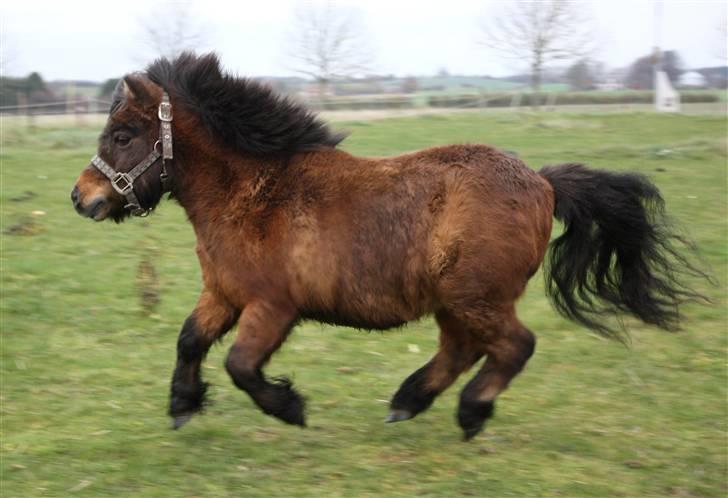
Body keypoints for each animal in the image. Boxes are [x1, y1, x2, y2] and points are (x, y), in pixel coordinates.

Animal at [71, 53, 704, 440]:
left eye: (123, 135)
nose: (81, 197)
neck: (255, 192)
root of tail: (545, 183)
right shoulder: (224, 296)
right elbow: (189, 341)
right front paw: (182, 407)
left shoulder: (272, 308)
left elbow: (241, 365)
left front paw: (291, 408)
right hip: (455, 301)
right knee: (461, 350)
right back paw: (408, 401)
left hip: (476, 296)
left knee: (513, 347)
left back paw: (471, 412)